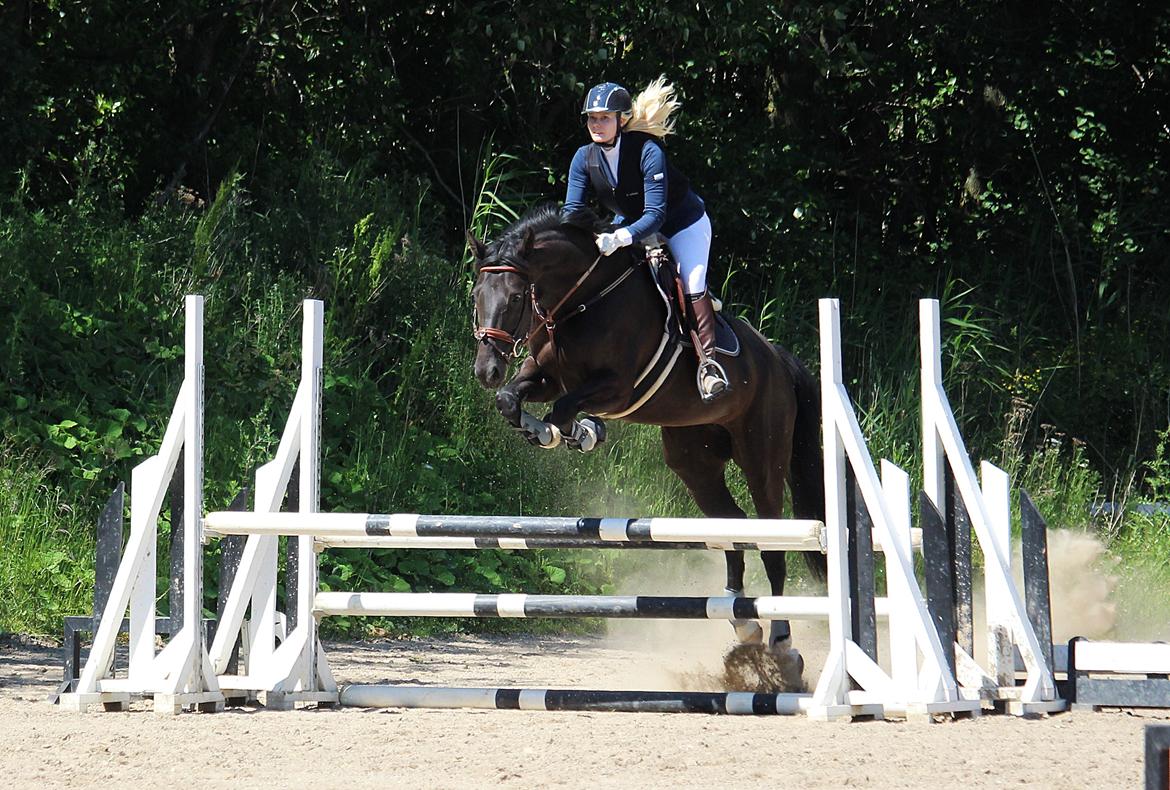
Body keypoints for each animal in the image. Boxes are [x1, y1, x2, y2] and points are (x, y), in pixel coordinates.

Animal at [467, 207, 823, 688]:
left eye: (518, 296)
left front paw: (575, 432)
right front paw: (552, 429)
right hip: (694, 464)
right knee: (731, 524)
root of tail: (777, 359)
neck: (585, 301)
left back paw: (782, 646)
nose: (486, 370)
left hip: (761, 458)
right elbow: (512, 399)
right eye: (477, 295)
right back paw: (743, 622)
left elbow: (564, 408)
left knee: (772, 543)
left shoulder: (616, 388)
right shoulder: (545, 374)